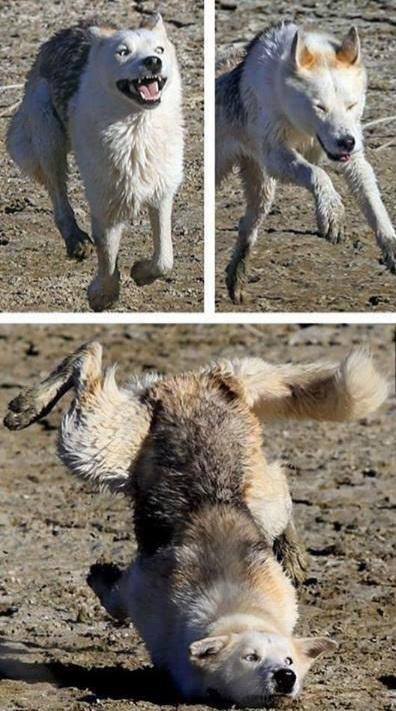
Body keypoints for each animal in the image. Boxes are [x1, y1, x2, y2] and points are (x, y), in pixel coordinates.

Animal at [7, 12, 184, 310]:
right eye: (123, 52)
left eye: (158, 50)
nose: (153, 62)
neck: (136, 129)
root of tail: (69, 29)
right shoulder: (105, 200)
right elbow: (107, 252)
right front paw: (103, 294)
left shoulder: (162, 191)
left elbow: (165, 259)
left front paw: (140, 273)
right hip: (49, 139)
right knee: (59, 198)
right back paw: (75, 239)